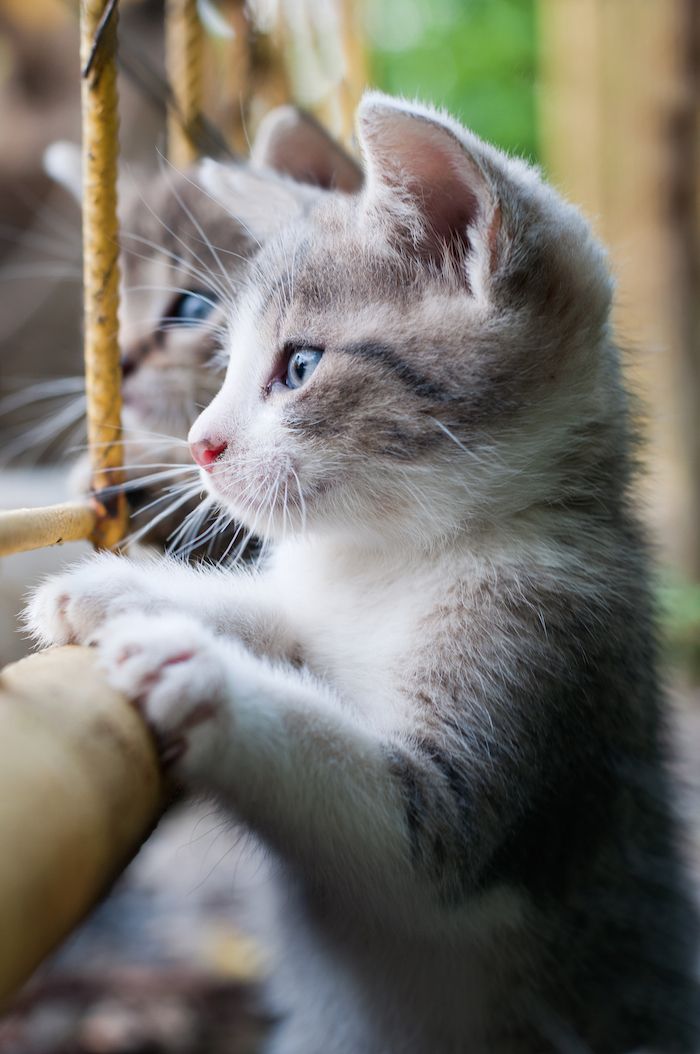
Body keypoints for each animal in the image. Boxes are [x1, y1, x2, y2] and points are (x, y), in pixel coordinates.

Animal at [27, 96, 700, 1054]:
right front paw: (116, 591)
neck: (397, 557)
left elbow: (383, 815)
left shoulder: (541, 658)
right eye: (225, 359)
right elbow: (272, 616)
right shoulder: (318, 604)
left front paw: (191, 670)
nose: (199, 443)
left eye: (300, 367)